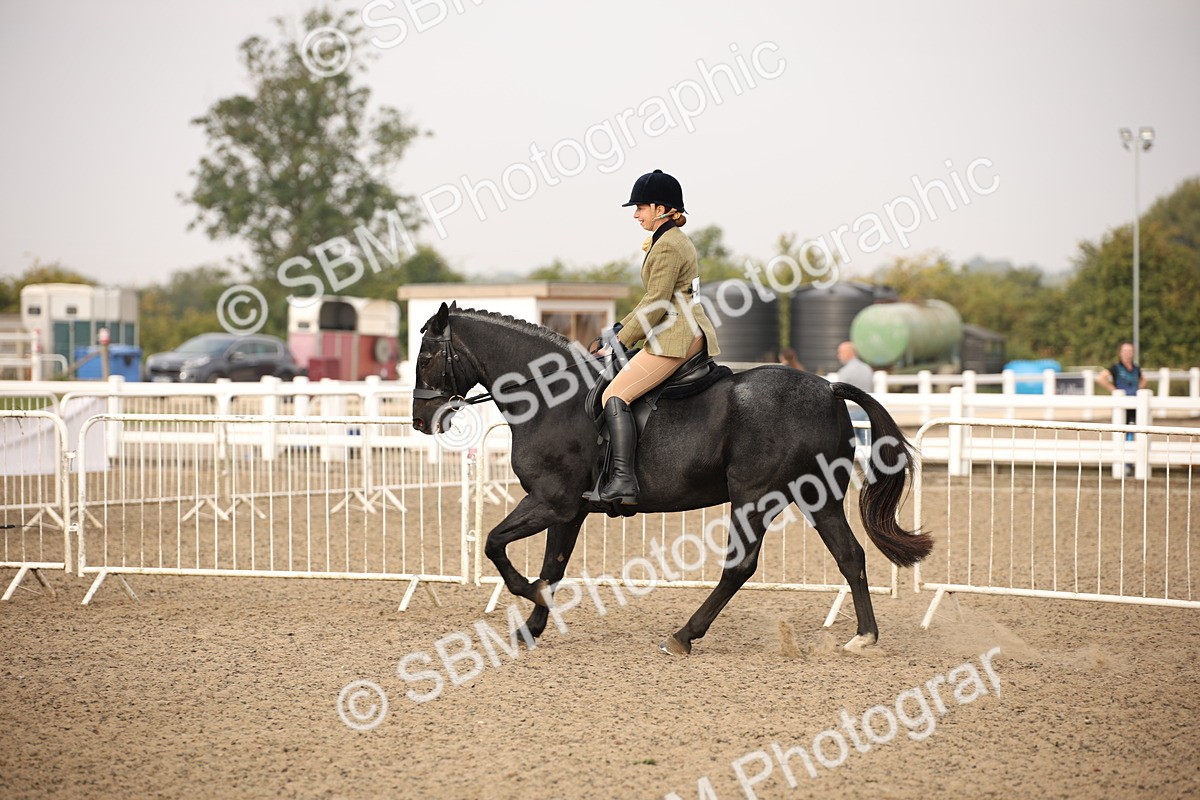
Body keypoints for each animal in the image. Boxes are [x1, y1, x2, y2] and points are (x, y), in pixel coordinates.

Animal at [411, 302, 933, 655]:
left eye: (426, 357)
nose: (420, 420)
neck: (550, 397)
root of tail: (828, 387)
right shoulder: (569, 510)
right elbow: (553, 567)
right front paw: (531, 629)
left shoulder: (551, 501)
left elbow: (495, 545)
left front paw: (530, 597)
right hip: (816, 497)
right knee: (850, 556)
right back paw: (864, 637)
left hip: (754, 497)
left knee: (740, 567)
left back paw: (683, 636)